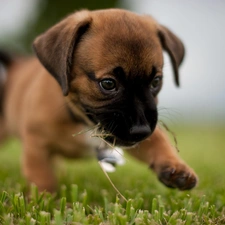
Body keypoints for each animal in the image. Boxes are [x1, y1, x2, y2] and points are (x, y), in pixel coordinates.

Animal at [0, 8, 197, 192]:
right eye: (108, 84)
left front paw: (175, 166)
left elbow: (159, 141)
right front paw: (46, 199)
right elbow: (42, 178)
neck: (80, 118)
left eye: (156, 82)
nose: (141, 131)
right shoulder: (36, 146)